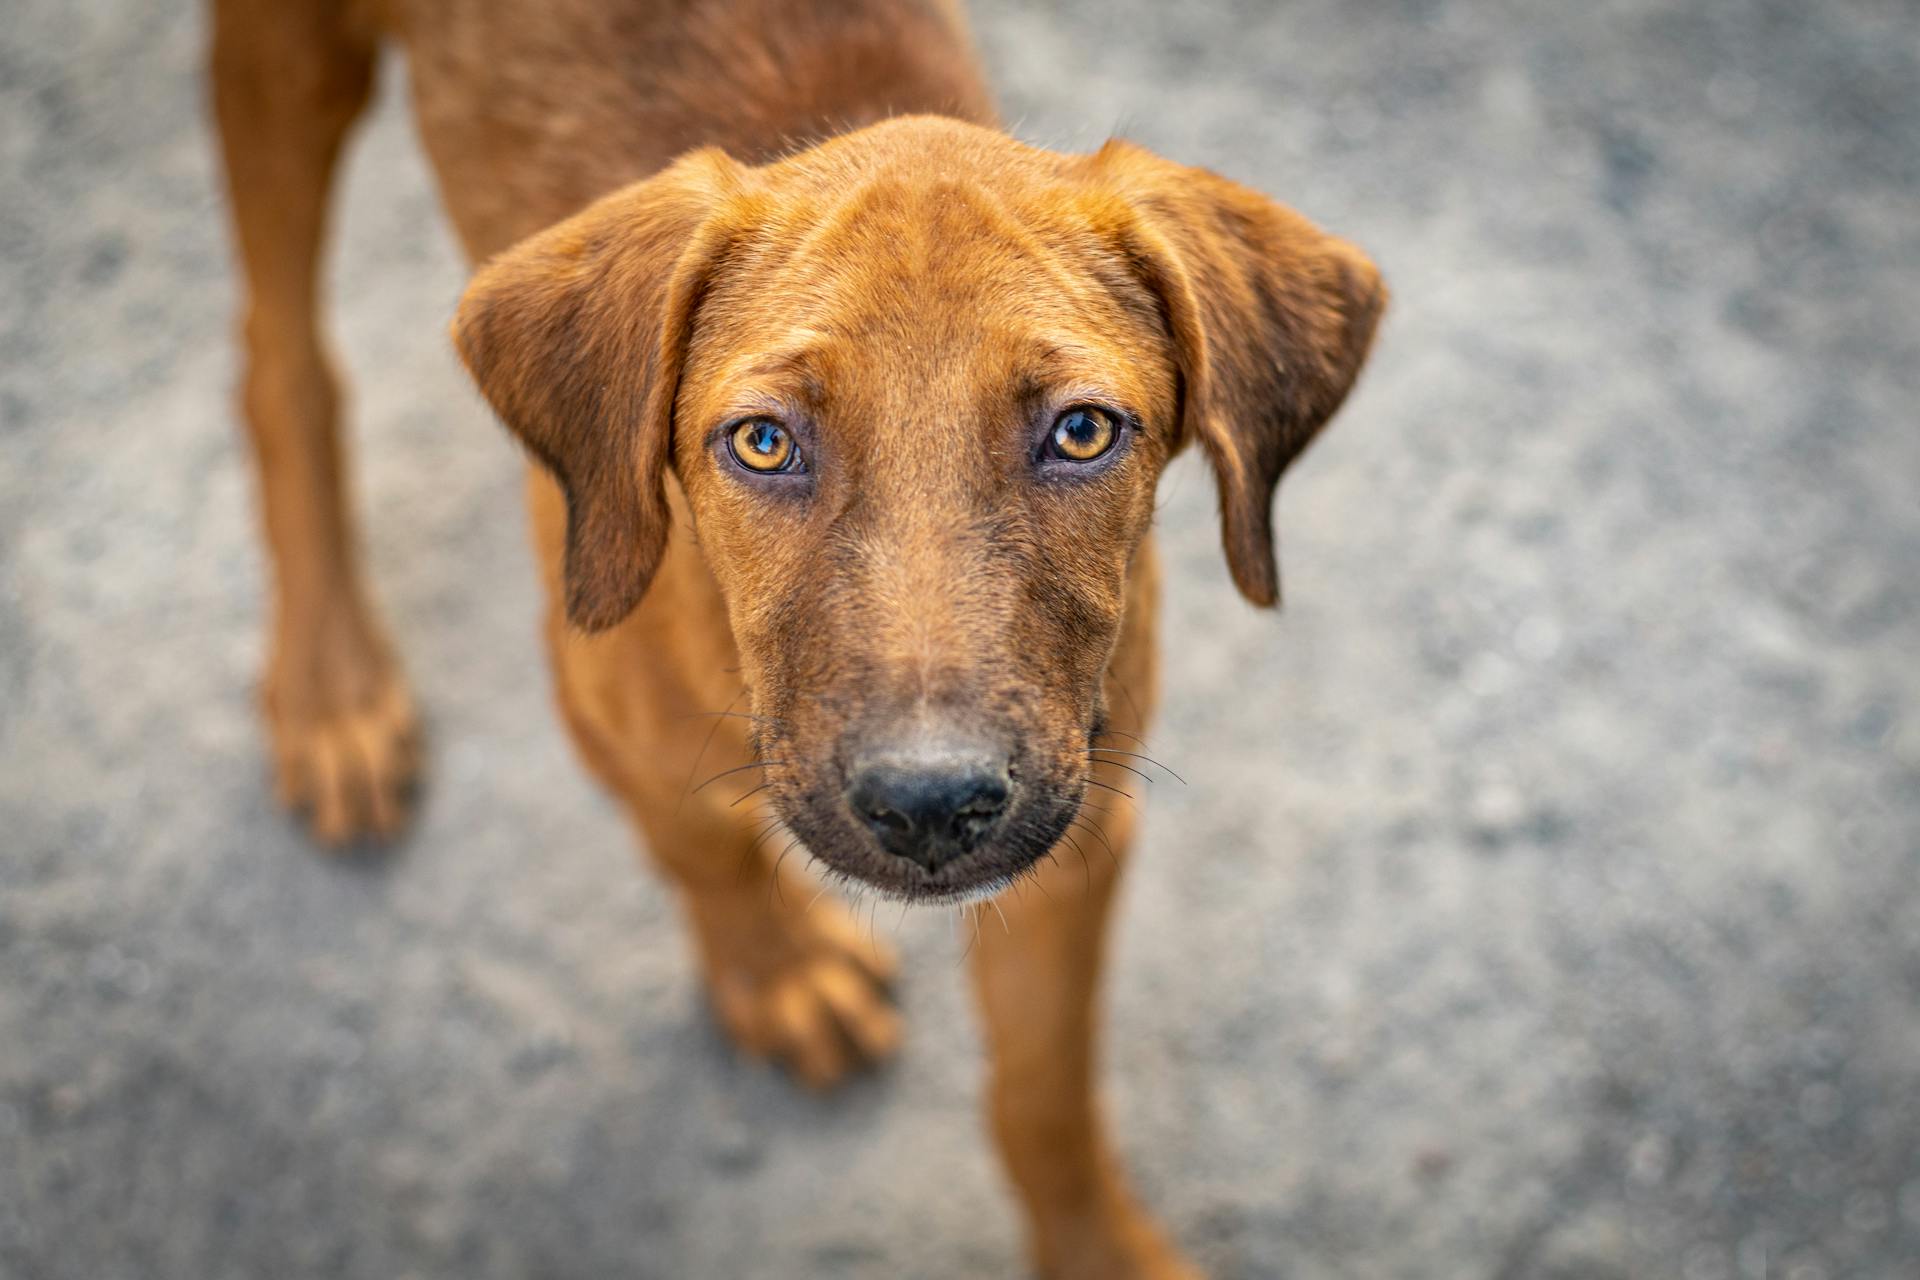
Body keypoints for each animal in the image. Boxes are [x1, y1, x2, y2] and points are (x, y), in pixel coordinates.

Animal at [210, 2, 1382, 1274]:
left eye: (1082, 432)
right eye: (764, 442)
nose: (930, 805)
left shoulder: (1079, 827)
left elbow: (1043, 1092)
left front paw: (1096, 1249)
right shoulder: (603, 708)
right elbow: (702, 850)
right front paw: (779, 973)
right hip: (285, 63)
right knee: (279, 357)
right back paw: (333, 694)